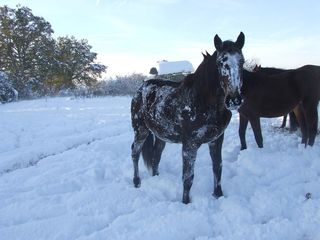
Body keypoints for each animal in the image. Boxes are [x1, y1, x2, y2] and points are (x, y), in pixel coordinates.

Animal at [130, 32, 245, 203]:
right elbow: (188, 177)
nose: (234, 100)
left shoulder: (217, 140)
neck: (202, 101)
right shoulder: (190, 145)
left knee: (156, 156)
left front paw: (218, 195)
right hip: (141, 130)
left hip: (161, 136)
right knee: (135, 152)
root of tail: (141, 88)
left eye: (242, 61)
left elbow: (217, 168)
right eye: (220, 62)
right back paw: (137, 182)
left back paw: (155, 177)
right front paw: (185, 202)